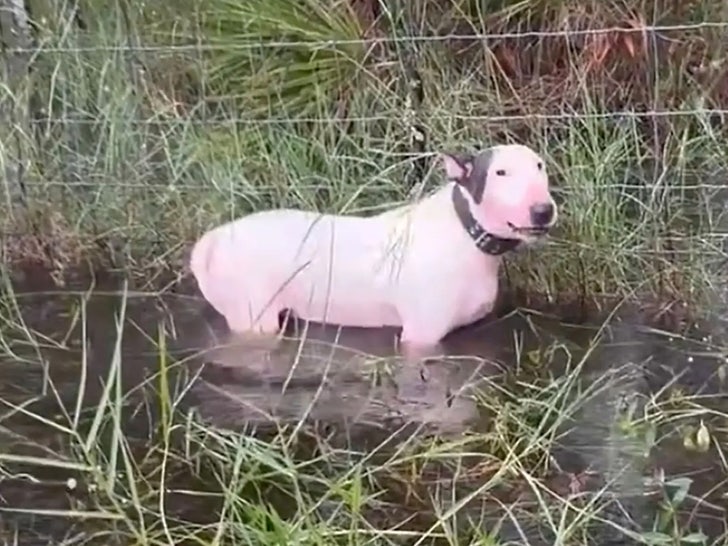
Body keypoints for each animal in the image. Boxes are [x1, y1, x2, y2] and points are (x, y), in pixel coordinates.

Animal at [189, 142, 556, 350]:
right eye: (500, 172)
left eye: (540, 166)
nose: (544, 210)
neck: (466, 234)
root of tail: (211, 240)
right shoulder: (421, 335)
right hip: (253, 315)